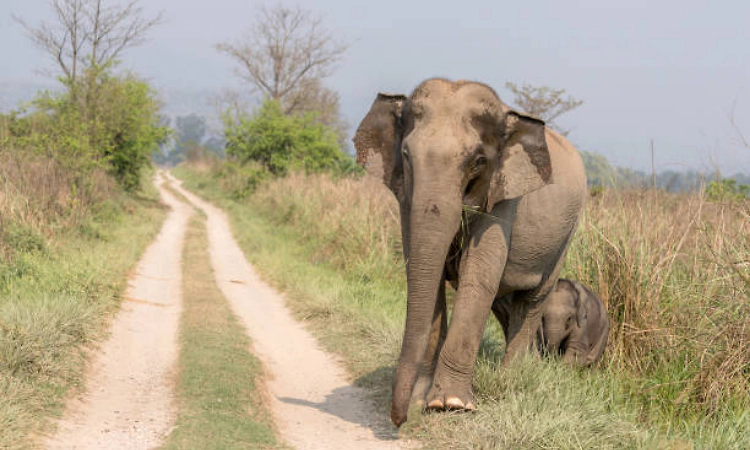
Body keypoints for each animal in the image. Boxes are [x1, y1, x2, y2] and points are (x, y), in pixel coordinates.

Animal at [353, 78, 587, 427]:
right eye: (406, 155)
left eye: (477, 161)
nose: (401, 419)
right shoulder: (406, 196)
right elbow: (425, 273)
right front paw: (423, 397)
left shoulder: (503, 197)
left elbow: (478, 280)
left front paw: (449, 404)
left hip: (566, 235)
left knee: (533, 299)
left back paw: (509, 380)